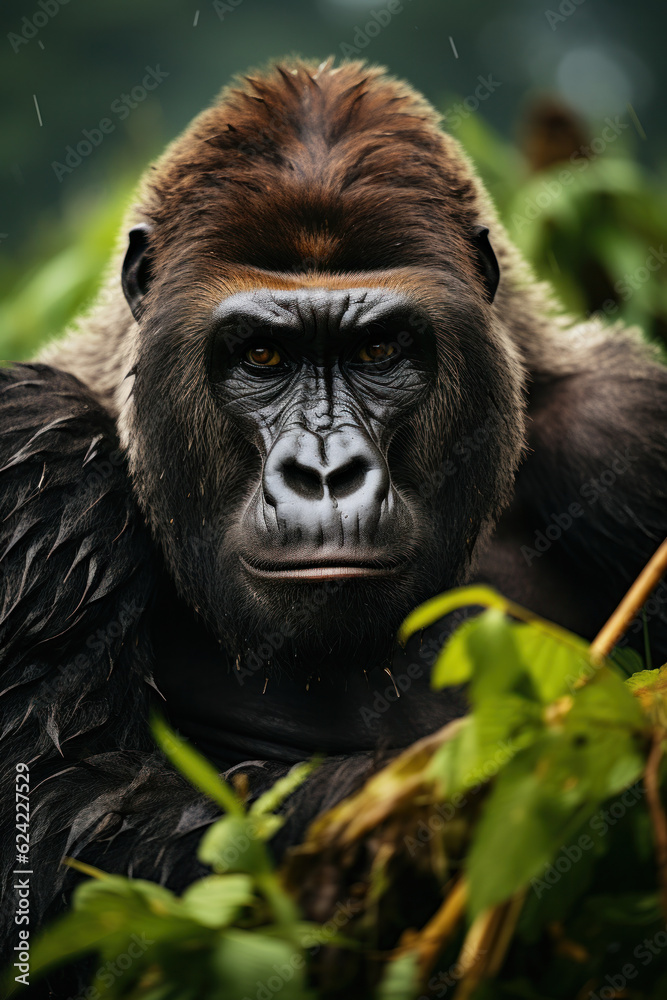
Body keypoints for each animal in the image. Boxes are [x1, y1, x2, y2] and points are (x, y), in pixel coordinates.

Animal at [1, 59, 666, 995]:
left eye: (379, 351)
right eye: (263, 356)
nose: (325, 473)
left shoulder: (633, 433)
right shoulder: (36, 445)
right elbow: (60, 826)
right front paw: (414, 809)